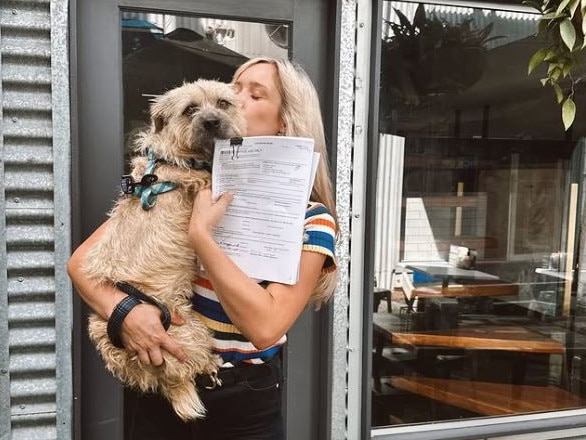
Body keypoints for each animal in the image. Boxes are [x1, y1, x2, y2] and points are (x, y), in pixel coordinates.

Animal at [81, 81, 244, 422]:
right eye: (190, 109)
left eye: (223, 103)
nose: (212, 122)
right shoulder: (201, 181)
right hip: (190, 332)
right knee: (192, 366)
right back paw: (210, 366)